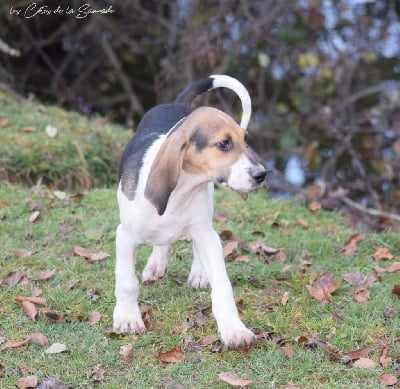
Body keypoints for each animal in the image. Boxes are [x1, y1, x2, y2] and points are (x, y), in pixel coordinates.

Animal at [112, 74, 268, 348]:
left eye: (245, 139)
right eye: (224, 144)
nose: (262, 175)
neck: (182, 190)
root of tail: (178, 103)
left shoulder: (206, 235)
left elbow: (223, 287)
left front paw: (234, 329)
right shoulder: (125, 237)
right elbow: (126, 282)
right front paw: (128, 319)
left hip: (206, 222)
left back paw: (197, 271)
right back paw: (156, 264)